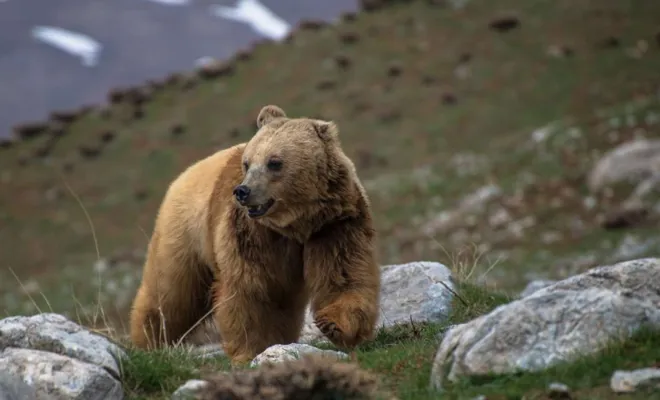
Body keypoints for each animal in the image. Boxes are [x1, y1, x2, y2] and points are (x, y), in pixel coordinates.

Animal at [128, 104, 382, 364]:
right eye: (247, 163)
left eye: (274, 162)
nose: (243, 191)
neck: (296, 224)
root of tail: (187, 172)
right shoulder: (251, 236)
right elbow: (249, 292)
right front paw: (249, 350)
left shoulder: (334, 225)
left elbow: (343, 274)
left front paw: (335, 325)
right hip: (184, 233)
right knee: (170, 292)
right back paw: (148, 341)